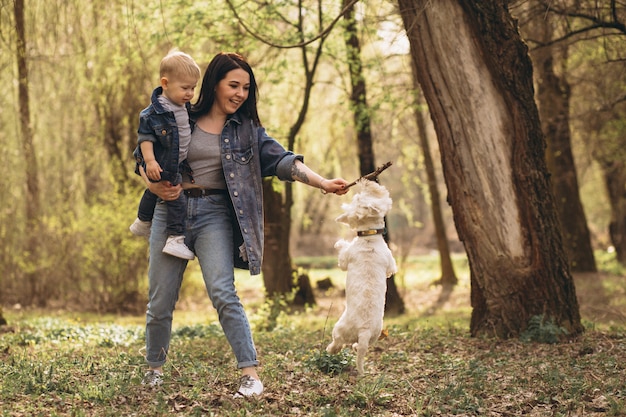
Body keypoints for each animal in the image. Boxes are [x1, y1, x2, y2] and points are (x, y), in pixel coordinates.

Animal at [326, 179, 394, 374]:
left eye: (358, 198)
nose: (366, 181)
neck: (369, 236)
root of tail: (364, 329)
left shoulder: (345, 259)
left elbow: (342, 254)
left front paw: (339, 242)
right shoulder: (391, 262)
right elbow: (391, 270)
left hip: (339, 328)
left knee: (338, 342)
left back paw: (330, 349)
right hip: (374, 335)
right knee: (363, 347)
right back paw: (356, 347)